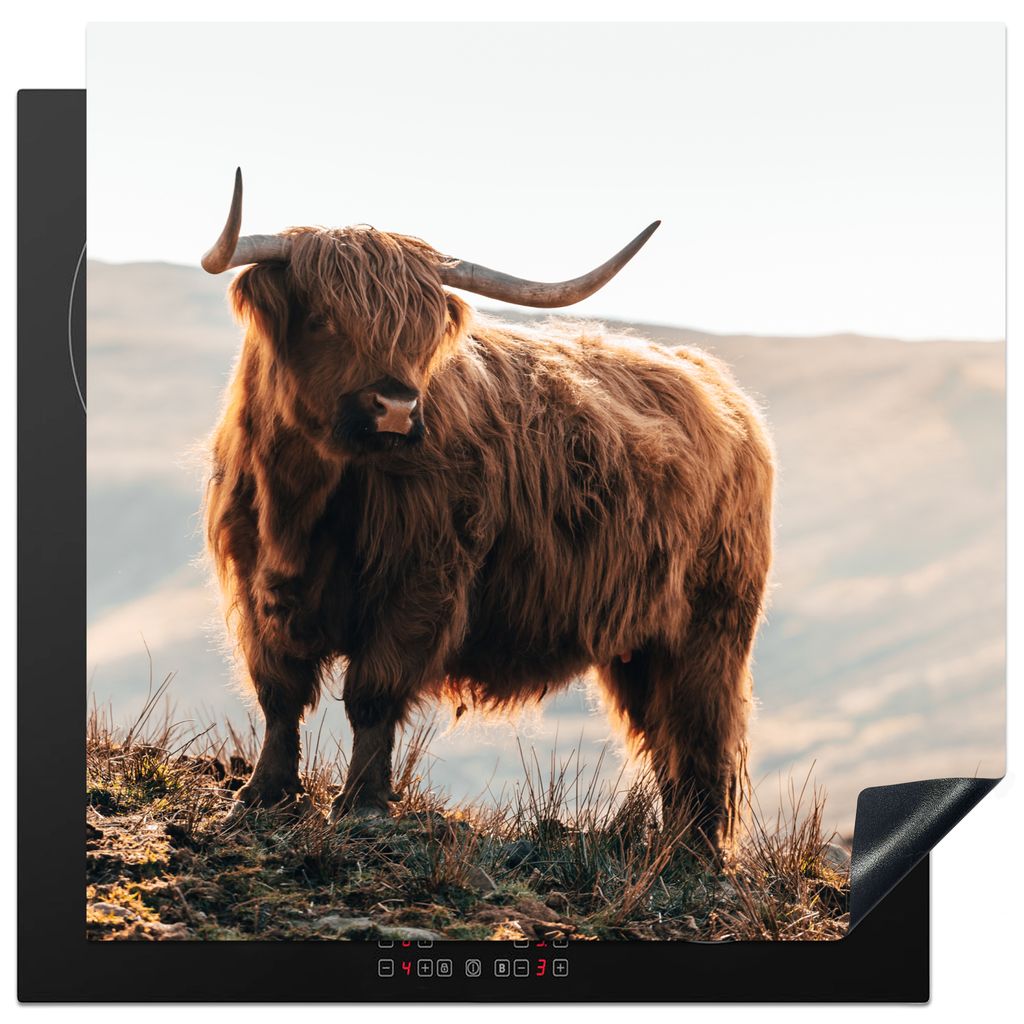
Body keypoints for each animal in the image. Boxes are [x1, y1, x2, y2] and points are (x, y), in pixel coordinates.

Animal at [202, 169, 774, 852]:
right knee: (665, 736)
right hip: (640, 644)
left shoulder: (421, 583)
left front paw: (363, 805)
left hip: (710, 627)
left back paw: (695, 853)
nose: (397, 407)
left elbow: (372, 693)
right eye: (321, 319)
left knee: (699, 732)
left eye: (421, 334)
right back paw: (671, 847)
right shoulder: (256, 584)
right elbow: (280, 693)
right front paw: (262, 796)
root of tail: (720, 387)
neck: (304, 500)